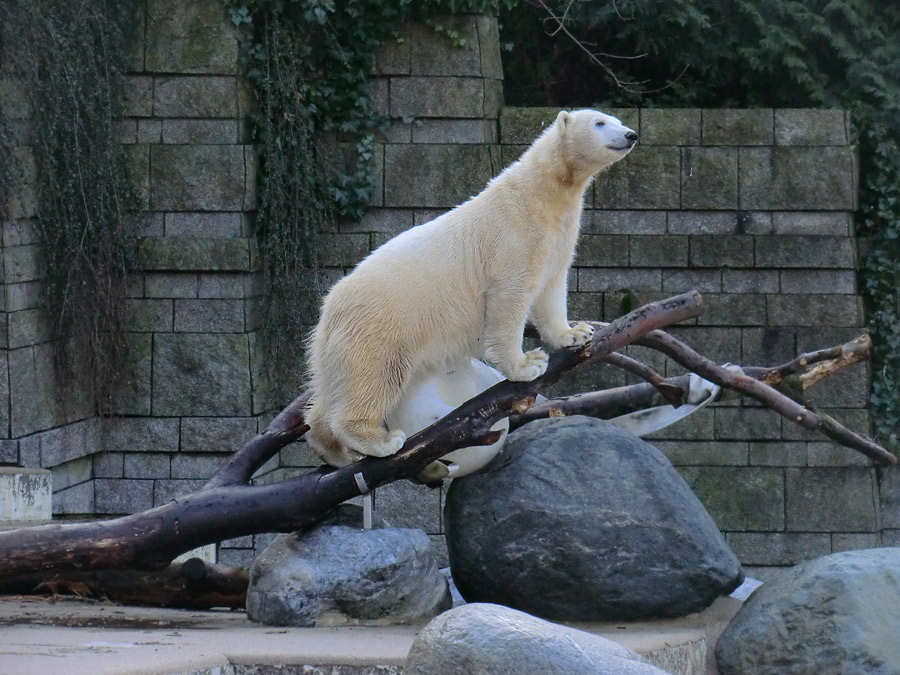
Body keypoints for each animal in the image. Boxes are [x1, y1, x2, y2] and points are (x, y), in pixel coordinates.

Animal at [306, 112, 636, 470]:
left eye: (617, 119)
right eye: (600, 122)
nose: (631, 134)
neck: (542, 194)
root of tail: (330, 309)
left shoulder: (558, 235)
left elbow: (551, 286)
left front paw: (574, 333)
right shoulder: (513, 237)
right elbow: (510, 298)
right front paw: (527, 364)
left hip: (336, 348)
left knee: (327, 391)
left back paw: (335, 451)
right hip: (383, 326)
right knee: (376, 376)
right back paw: (379, 441)